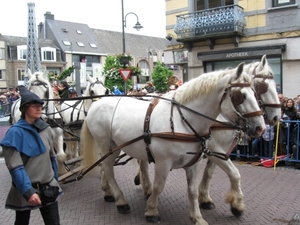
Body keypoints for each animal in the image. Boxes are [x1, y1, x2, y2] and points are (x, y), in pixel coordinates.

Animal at [80, 63, 264, 225]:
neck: (182, 121)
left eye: (256, 92)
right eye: (241, 96)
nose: (260, 127)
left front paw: (198, 217)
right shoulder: (163, 162)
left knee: (110, 168)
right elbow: (158, 186)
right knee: (108, 169)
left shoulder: (196, 162)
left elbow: (193, 190)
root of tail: (97, 103)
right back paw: (121, 201)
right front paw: (152, 211)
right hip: (107, 146)